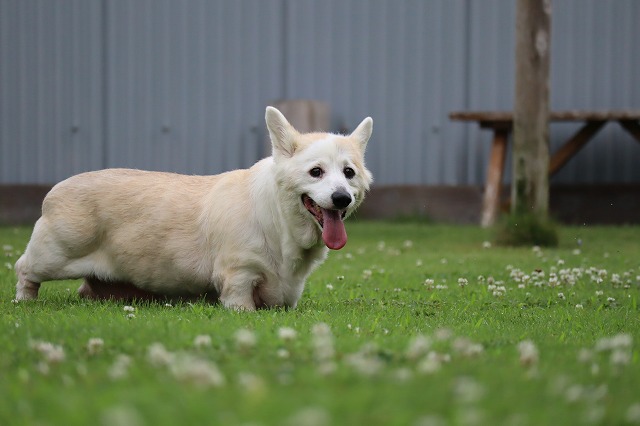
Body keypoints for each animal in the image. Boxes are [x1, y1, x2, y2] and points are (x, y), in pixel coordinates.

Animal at [14, 107, 373, 310]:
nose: (341, 198)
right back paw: (23, 301)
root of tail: (54, 191)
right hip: (52, 256)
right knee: (24, 269)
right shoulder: (238, 275)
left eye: (349, 173)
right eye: (316, 172)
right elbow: (241, 302)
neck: (280, 222)